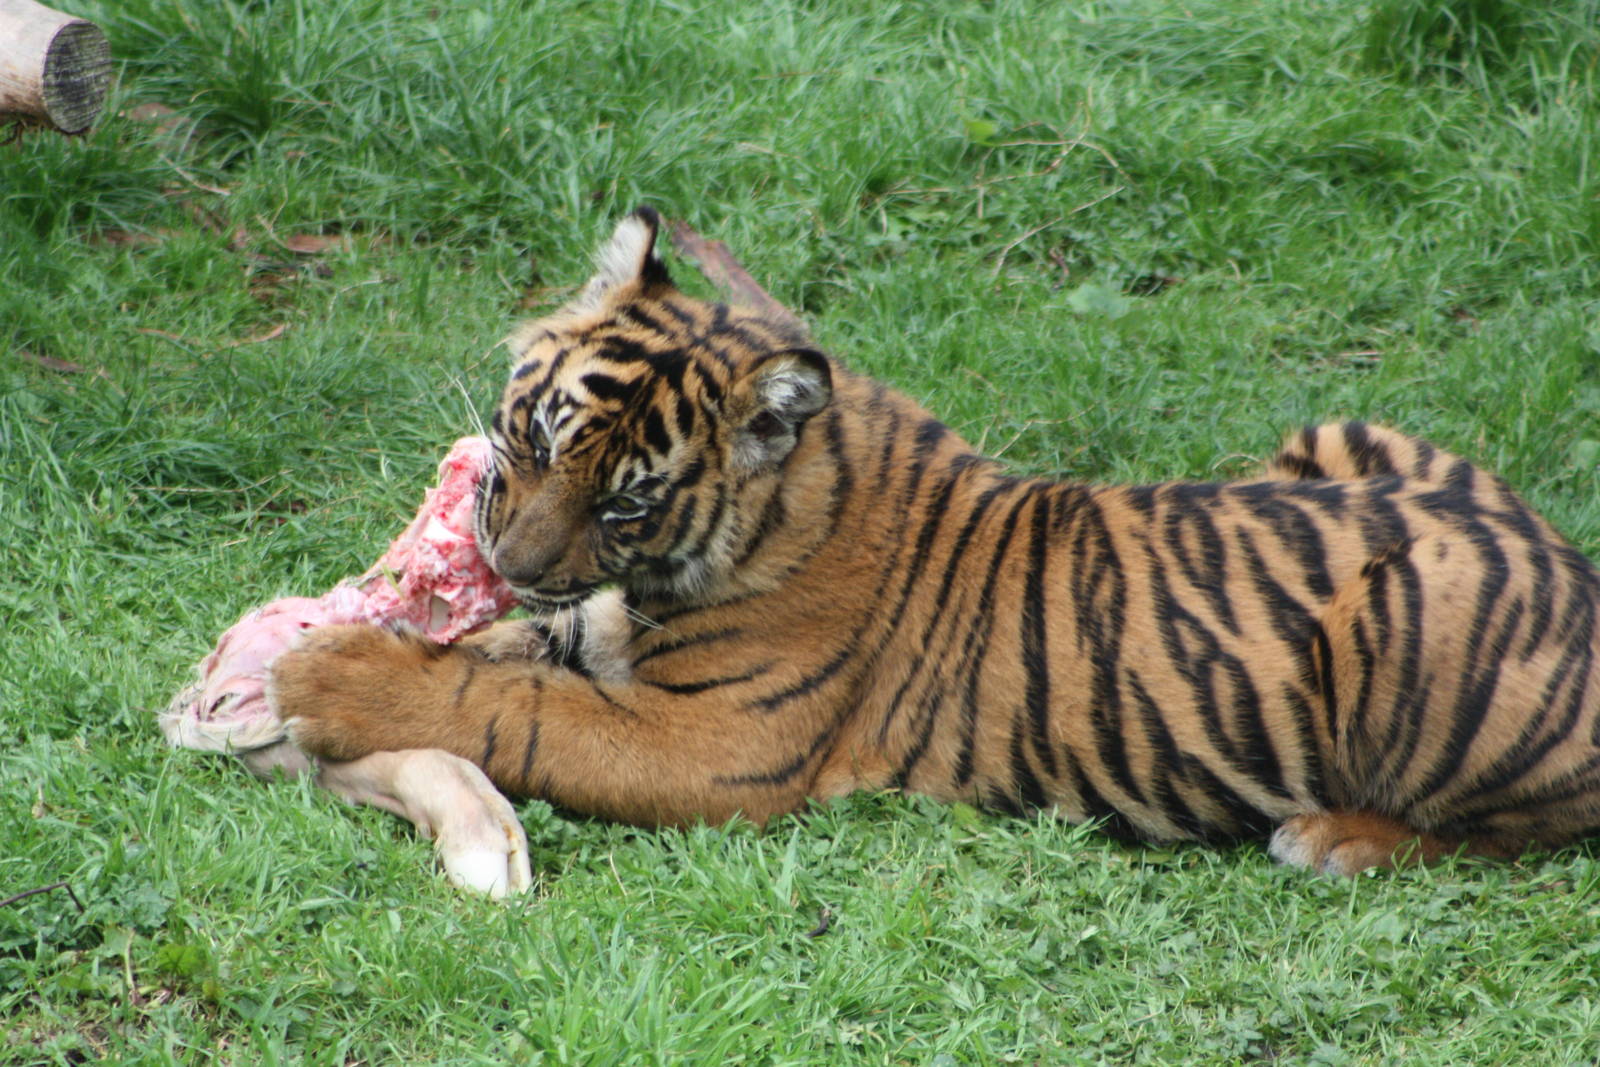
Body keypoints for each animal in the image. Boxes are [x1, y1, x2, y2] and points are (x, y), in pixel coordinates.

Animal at [270, 206, 1600, 880]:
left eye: (625, 506)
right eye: (533, 436)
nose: (514, 562)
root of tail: (1570, 565)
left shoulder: (720, 745)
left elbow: (512, 704)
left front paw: (318, 672)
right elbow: (512, 656)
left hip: (1411, 614)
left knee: (1512, 826)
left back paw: (1328, 837)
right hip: (1338, 434)